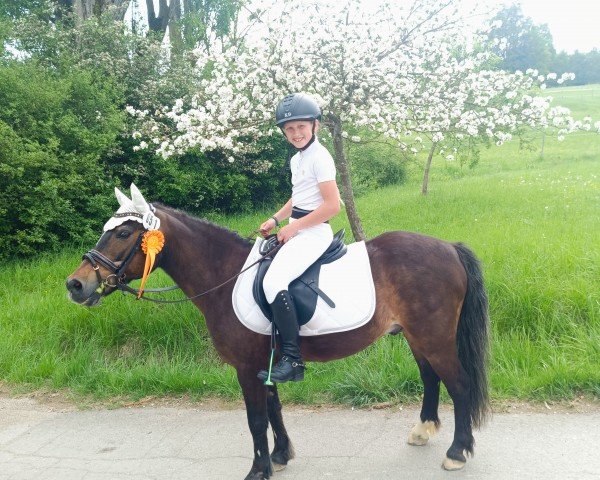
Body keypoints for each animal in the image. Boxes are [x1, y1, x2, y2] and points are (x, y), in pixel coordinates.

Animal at [68, 202, 490, 476]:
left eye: (124, 232)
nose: (75, 284)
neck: (225, 275)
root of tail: (448, 247)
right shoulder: (264, 364)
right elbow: (274, 409)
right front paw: (281, 456)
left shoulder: (245, 367)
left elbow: (256, 419)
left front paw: (258, 470)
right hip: (417, 338)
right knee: (431, 379)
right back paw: (423, 431)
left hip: (434, 338)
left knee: (459, 385)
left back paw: (457, 452)